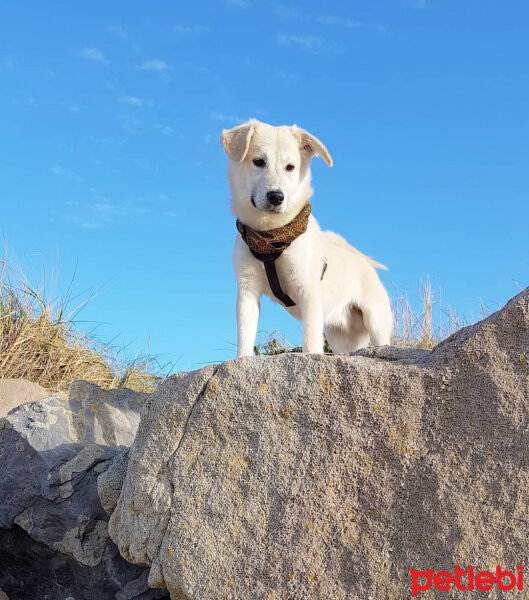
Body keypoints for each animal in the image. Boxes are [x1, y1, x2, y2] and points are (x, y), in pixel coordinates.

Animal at [220, 120, 392, 358]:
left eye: (290, 167)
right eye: (258, 162)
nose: (276, 197)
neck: (271, 237)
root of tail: (365, 263)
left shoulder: (307, 290)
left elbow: (310, 342)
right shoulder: (247, 290)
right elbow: (245, 340)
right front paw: (242, 360)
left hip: (376, 322)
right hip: (340, 337)